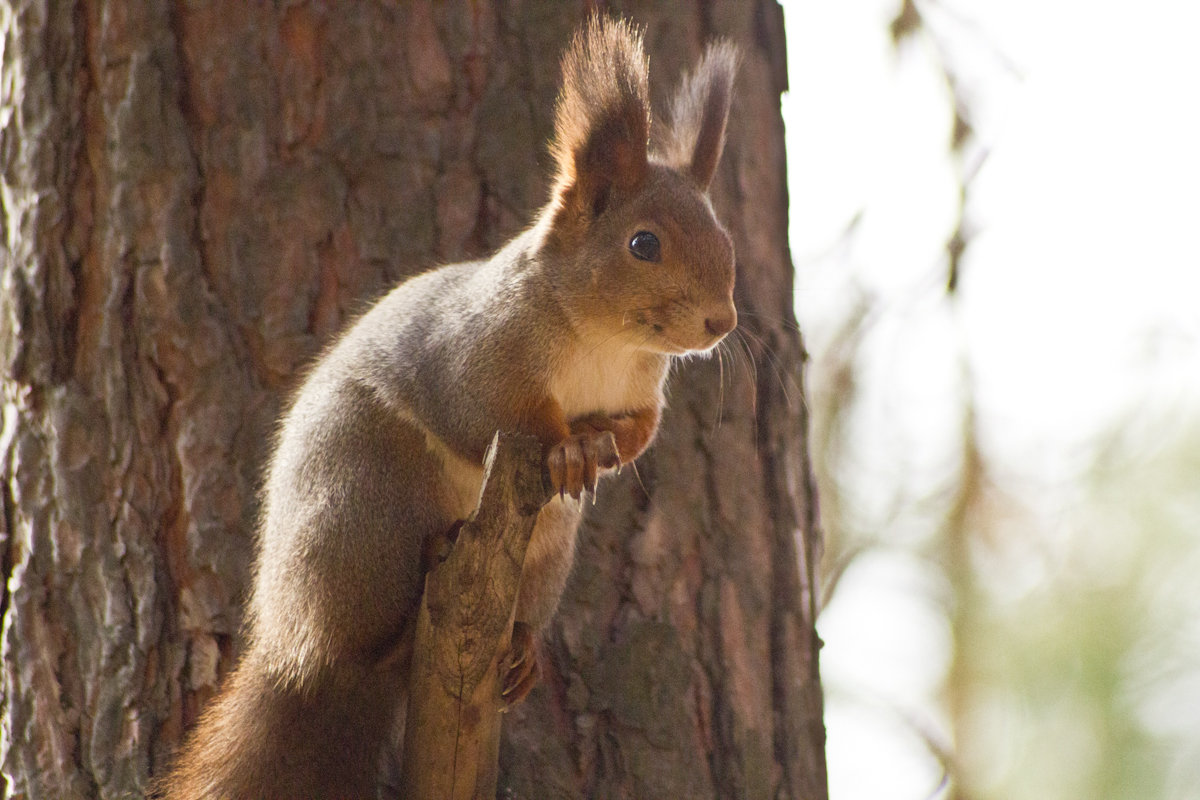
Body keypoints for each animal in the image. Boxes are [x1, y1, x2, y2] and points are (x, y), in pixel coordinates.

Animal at [162, 14, 739, 800]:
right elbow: (493, 417)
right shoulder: (470, 357)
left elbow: (642, 435)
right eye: (643, 243)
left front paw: (601, 449)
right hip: (370, 505)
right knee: (366, 642)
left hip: (546, 552)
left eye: (726, 239)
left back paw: (522, 653)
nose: (722, 323)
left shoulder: (642, 393)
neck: (605, 343)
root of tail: (291, 644)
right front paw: (568, 447)